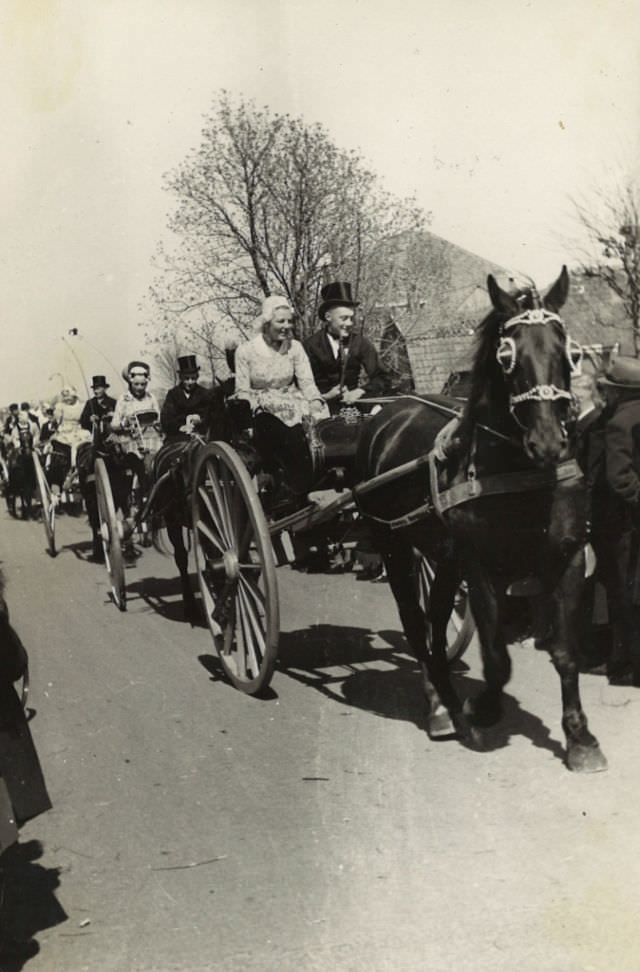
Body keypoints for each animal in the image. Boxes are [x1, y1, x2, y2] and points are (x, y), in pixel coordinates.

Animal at [358, 266, 608, 776]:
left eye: (569, 352)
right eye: (506, 355)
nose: (548, 443)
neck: (519, 472)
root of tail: (388, 412)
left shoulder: (568, 558)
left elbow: (566, 653)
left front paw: (580, 737)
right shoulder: (482, 567)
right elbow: (496, 659)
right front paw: (486, 707)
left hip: (441, 558)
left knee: (434, 621)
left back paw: (442, 695)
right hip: (394, 546)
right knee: (414, 621)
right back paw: (440, 707)